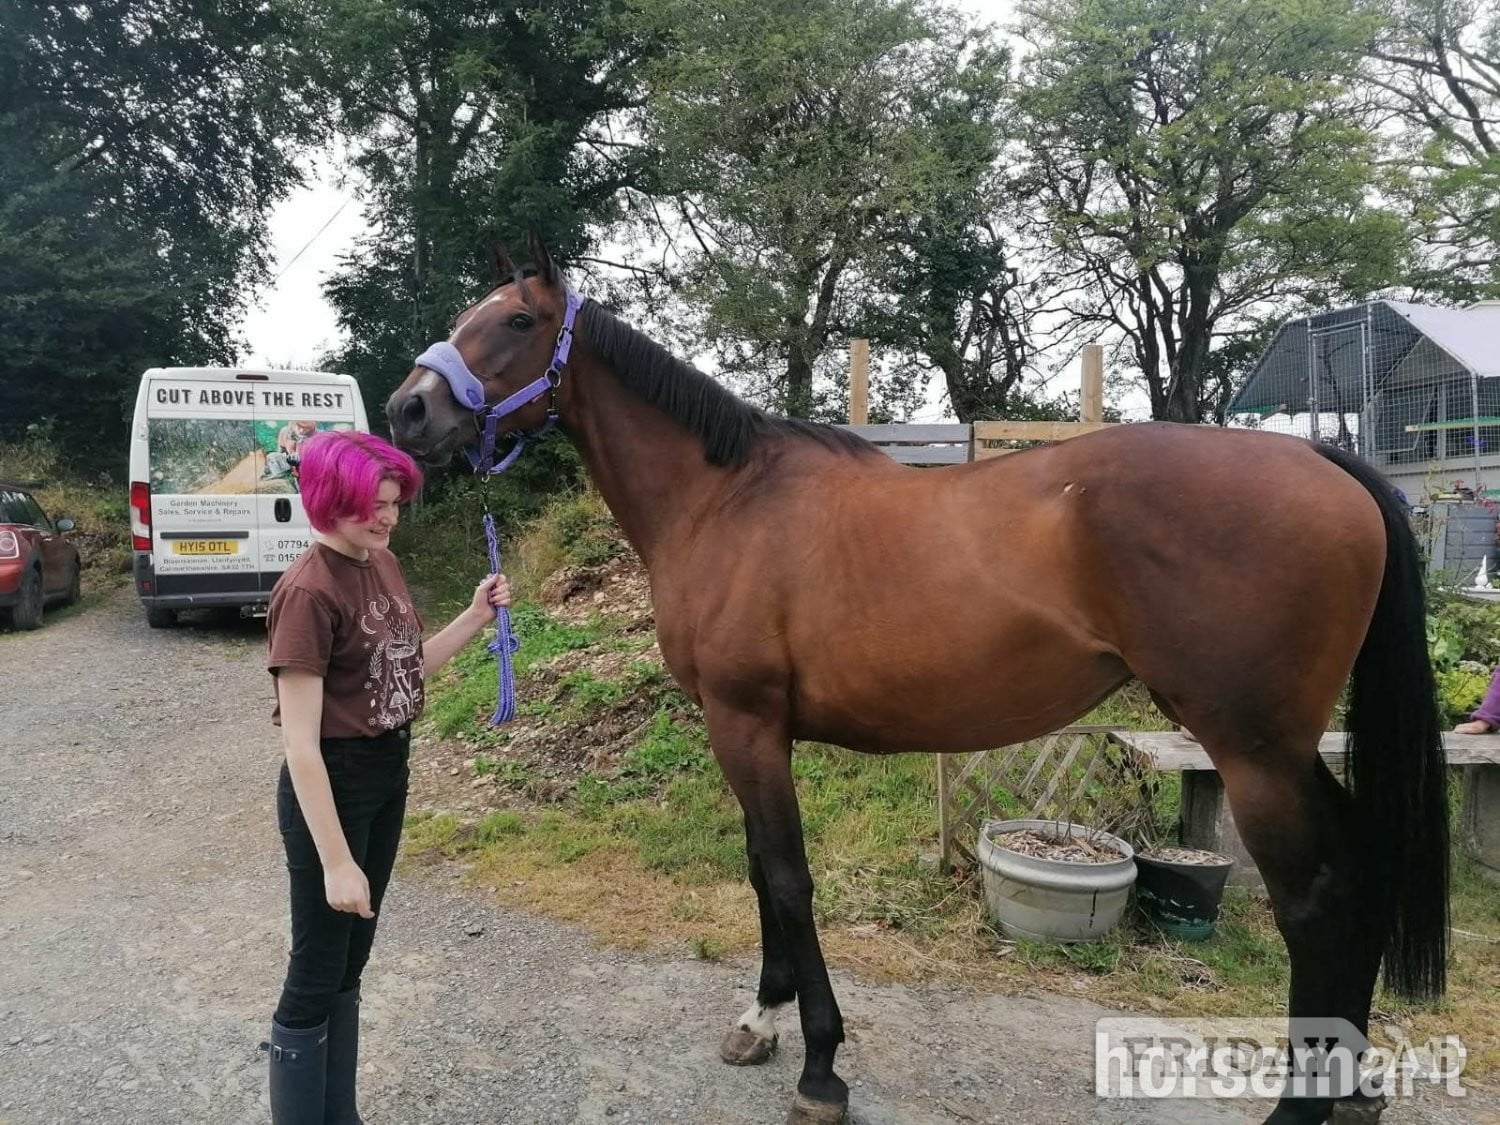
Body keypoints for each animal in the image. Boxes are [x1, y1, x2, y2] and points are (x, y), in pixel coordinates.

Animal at [386, 235, 1449, 1125]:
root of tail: (1327, 463)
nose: (407, 408)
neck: (724, 499)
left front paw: (820, 1066)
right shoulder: (747, 731)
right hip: (1289, 751)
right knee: (1359, 870)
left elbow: (788, 875)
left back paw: (1302, 1106)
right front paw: (762, 1019)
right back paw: (1352, 1088)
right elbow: (760, 869)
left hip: (1254, 751)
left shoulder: (746, 723)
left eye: (515, 323)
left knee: (1313, 902)